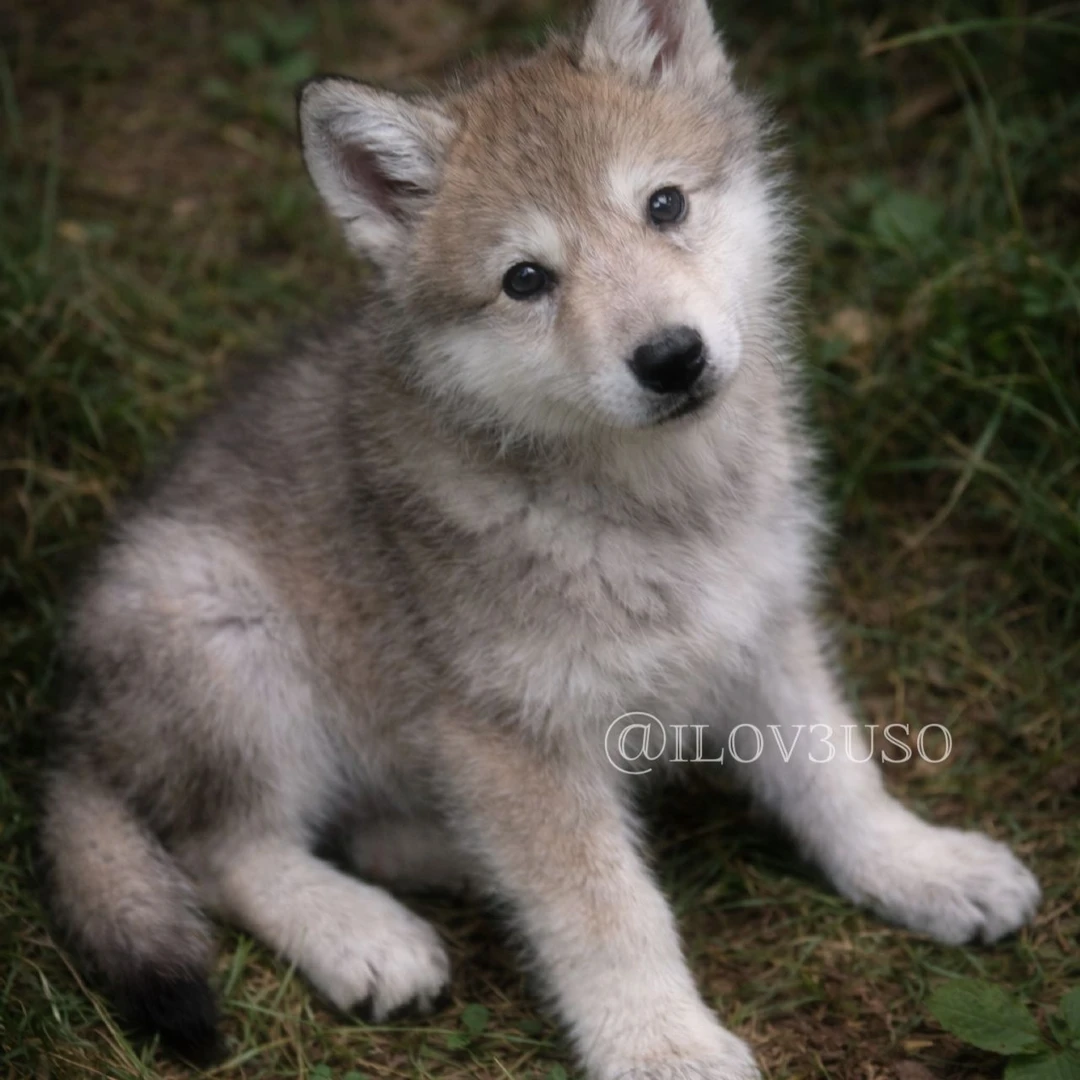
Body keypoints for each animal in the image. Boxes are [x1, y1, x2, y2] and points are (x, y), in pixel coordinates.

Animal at [40, 1, 1041, 1076]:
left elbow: (836, 773)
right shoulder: (514, 731)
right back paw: (362, 931)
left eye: (664, 205)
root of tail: (68, 726)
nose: (671, 358)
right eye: (525, 280)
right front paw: (661, 1045)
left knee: (361, 834)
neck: (654, 505)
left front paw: (918, 864)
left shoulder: (759, 625)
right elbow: (603, 910)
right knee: (222, 850)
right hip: (227, 634)